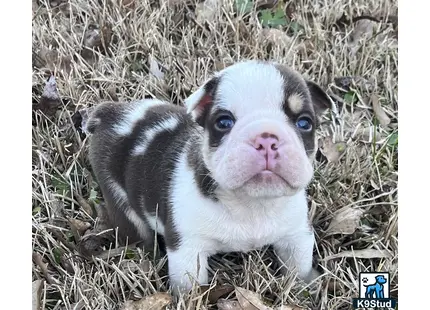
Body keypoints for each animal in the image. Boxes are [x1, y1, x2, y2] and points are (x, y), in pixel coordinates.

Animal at [86, 60, 330, 294]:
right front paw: (189, 298)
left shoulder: (296, 235)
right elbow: (189, 284)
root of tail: (111, 114)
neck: (252, 204)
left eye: (304, 123)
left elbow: (298, 265)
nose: (266, 138)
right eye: (223, 122)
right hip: (119, 200)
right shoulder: (187, 248)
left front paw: (306, 285)